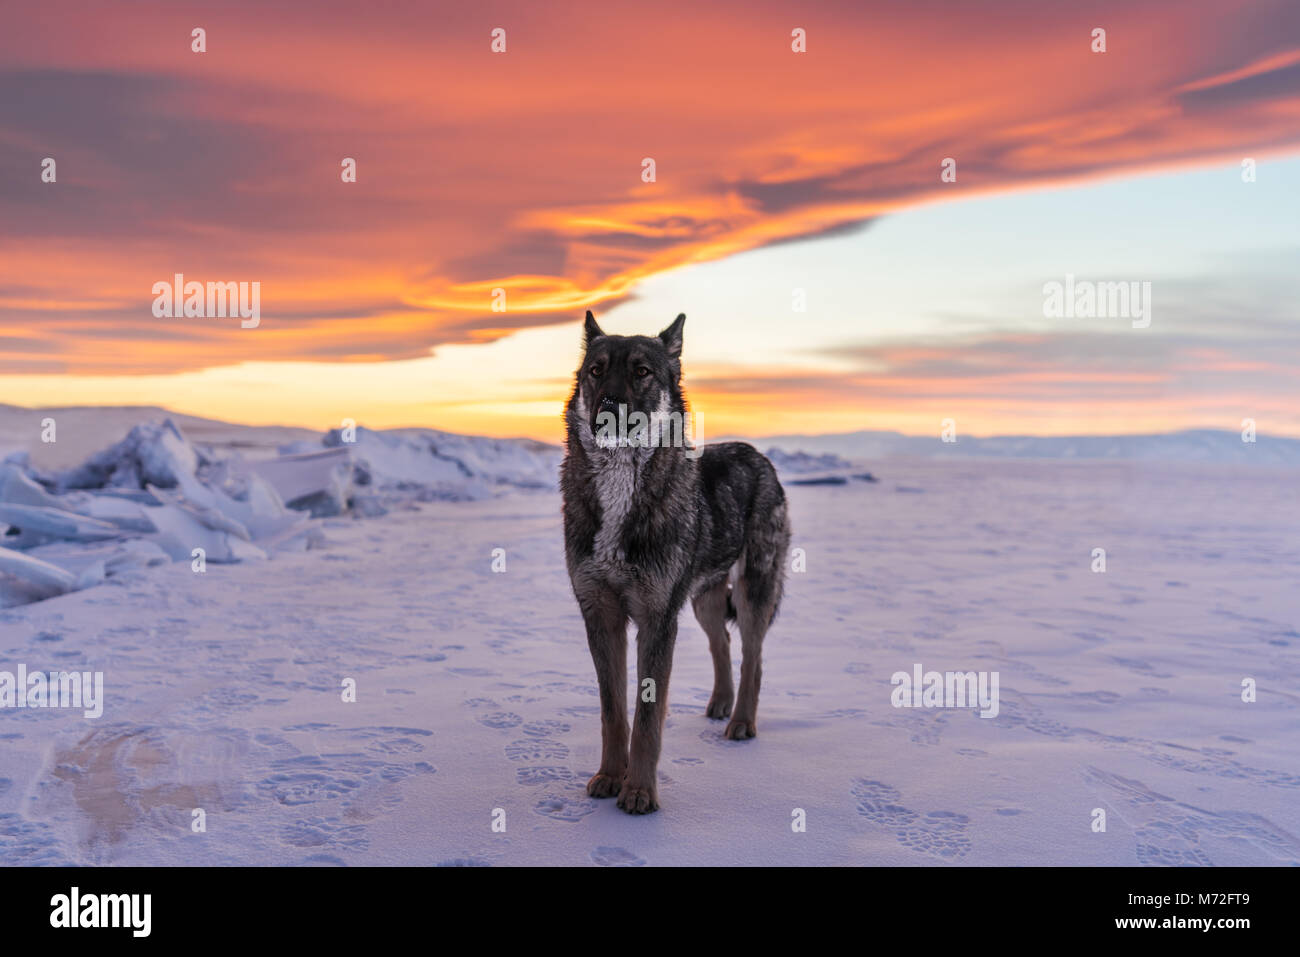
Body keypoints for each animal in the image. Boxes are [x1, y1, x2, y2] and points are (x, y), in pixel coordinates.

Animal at [561, 310, 790, 811]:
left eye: (642, 371)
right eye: (596, 370)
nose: (607, 408)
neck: (621, 486)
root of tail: (758, 455)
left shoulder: (656, 618)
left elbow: (647, 719)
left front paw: (639, 793)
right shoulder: (600, 614)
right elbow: (613, 711)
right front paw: (610, 777)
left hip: (752, 592)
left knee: (754, 656)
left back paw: (741, 722)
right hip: (703, 600)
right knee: (722, 644)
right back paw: (720, 704)